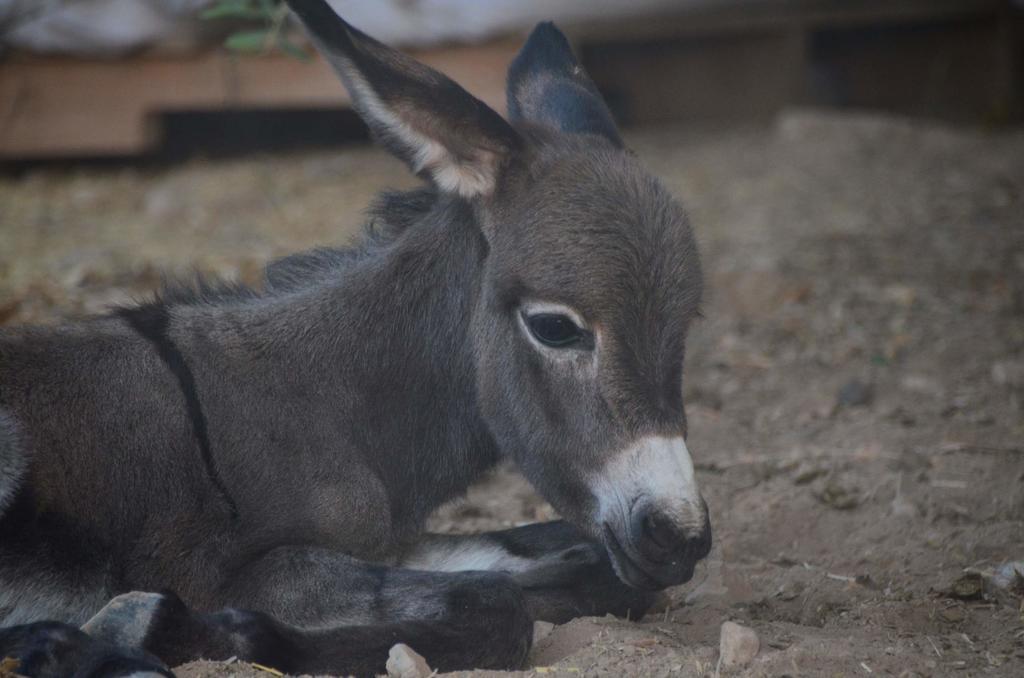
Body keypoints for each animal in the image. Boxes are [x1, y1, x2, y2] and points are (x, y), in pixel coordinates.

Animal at [0, 2, 708, 675]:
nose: (682, 537)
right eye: (555, 328)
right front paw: (171, 630)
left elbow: (582, 566)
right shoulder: (239, 569)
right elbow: (495, 604)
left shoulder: (392, 543)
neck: (324, 407)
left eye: (689, 321)